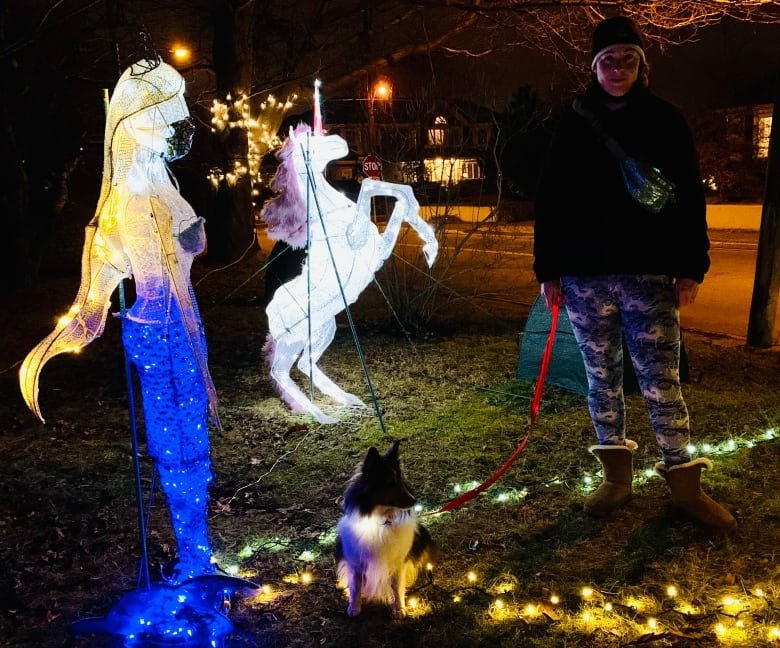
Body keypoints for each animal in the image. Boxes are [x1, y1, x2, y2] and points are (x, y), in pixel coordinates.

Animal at [336, 440, 432, 616]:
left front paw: (399, 608)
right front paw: (354, 608)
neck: (380, 521)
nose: (414, 501)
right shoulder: (356, 561)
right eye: (389, 482)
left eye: (400, 480)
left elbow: (396, 585)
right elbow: (356, 586)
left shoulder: (398, 563)